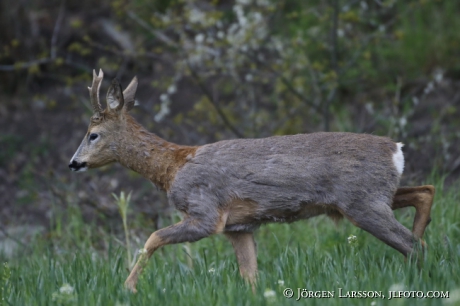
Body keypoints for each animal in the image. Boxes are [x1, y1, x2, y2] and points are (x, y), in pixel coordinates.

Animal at [68, 70, 434, 292]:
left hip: (363, 201)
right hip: (373, 196)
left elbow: (153, 237)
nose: (73, 163)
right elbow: (250, 276)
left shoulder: (206, 213)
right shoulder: (239, 226)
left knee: (412, 243)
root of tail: (395, 149)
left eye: (93, 134)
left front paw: (127, 287)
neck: (172, 168)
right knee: (425, 193)